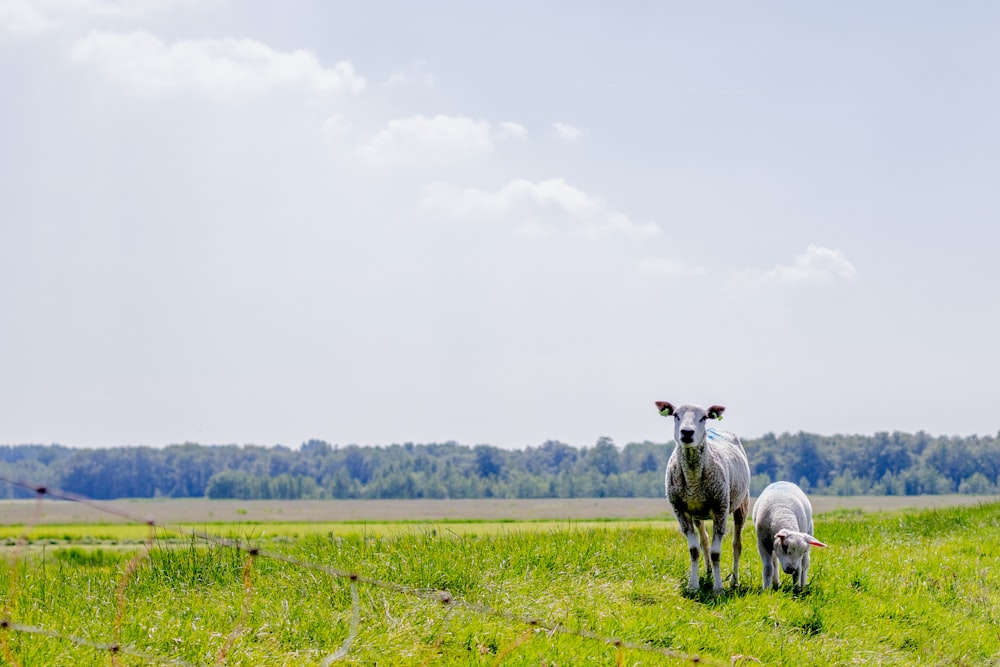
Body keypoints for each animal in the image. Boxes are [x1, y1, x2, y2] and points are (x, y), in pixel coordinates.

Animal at [656, 402, 752, 596]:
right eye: (675, 415)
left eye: (704, 417)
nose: (686, 432)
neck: (693, 479)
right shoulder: (681, 511)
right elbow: (694, 550)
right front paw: (693, 586)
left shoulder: (721, 508)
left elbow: (716, 553)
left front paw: (719, 589)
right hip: (698, 512)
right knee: (705, 541)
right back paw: (708, 572)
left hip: (741, 504)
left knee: (737, 544)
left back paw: (734, 581)